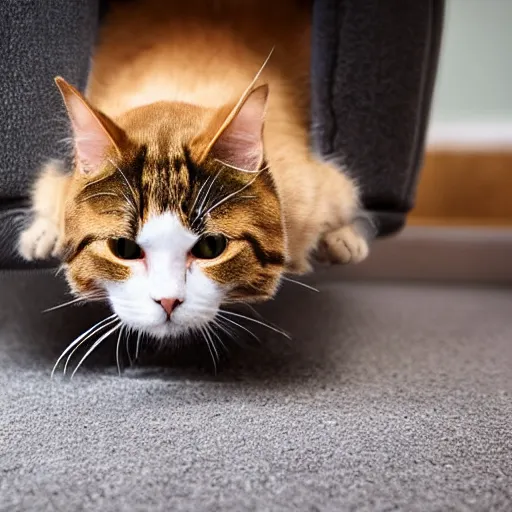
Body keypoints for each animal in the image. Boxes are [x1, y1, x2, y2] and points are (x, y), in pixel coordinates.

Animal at [17, 0, 368, 344]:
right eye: (125, 247)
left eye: (211, 246)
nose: (168, 301)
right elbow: (49, 199)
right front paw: (42, 236)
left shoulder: (318, 187)